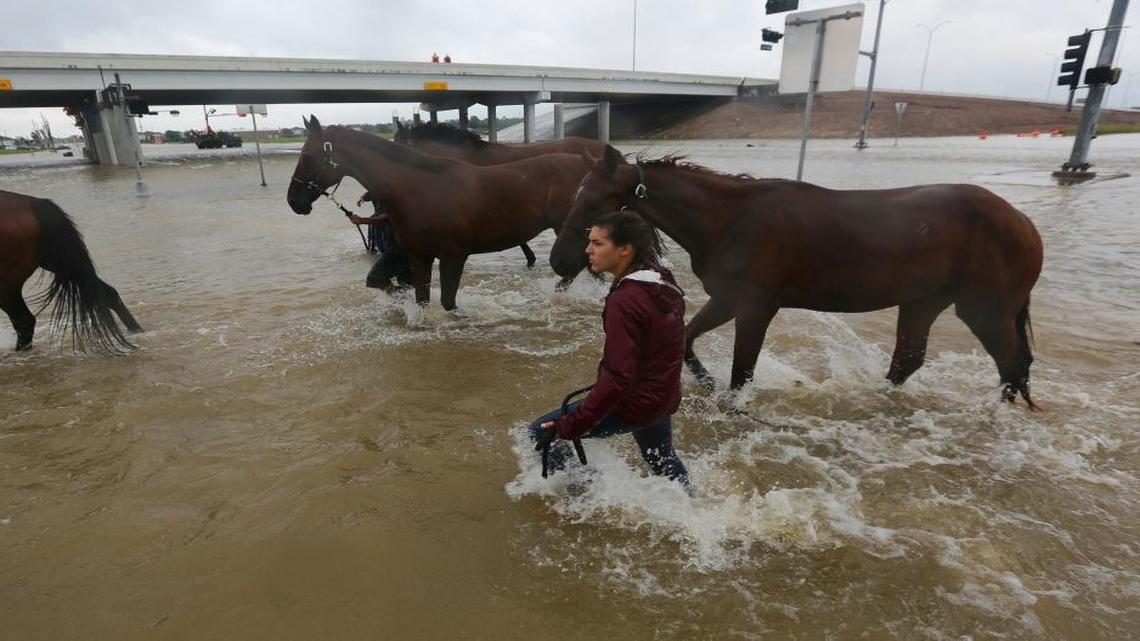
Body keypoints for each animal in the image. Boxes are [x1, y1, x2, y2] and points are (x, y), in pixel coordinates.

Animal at [0, 189, 143, 353]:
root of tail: (35, 204)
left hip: (8, 284)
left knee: (24, 321)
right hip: (58, 261)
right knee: (106, 293)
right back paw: (136, 331)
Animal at [287, 115, 590, 311]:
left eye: (307, 156)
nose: (293, 201)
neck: (420, 188)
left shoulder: (453, 255)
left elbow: (447, 302)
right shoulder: (418, 255)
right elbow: (420, 299)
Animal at [549, 146, 1043, 409]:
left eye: (591, 201)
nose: (559, 260)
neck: (732, 222)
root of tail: (1023, 223)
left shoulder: (755, 308)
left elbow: (742, 373)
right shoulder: (727, 300)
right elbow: (687, 339)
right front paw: (704, 381)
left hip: (984, 310)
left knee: (1012, 365)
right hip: (923, 301)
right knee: (909, 361)